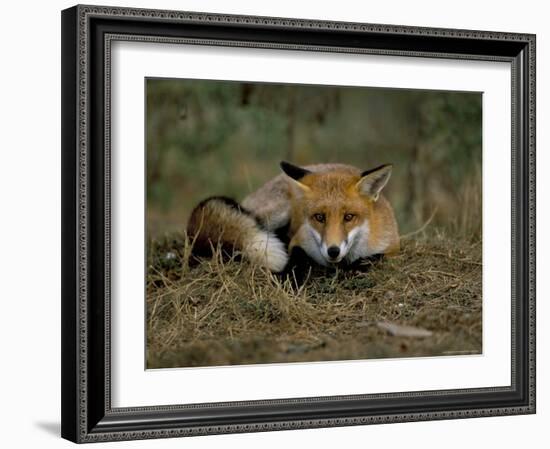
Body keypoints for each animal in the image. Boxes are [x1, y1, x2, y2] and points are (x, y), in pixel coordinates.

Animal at [189, 163, 402, 272]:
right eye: (319, 217)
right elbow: (298, 255)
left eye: (349, 217)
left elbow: (373, 258)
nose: (333, 251)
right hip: (278, 213)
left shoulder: (391, 247)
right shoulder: (299, 241)